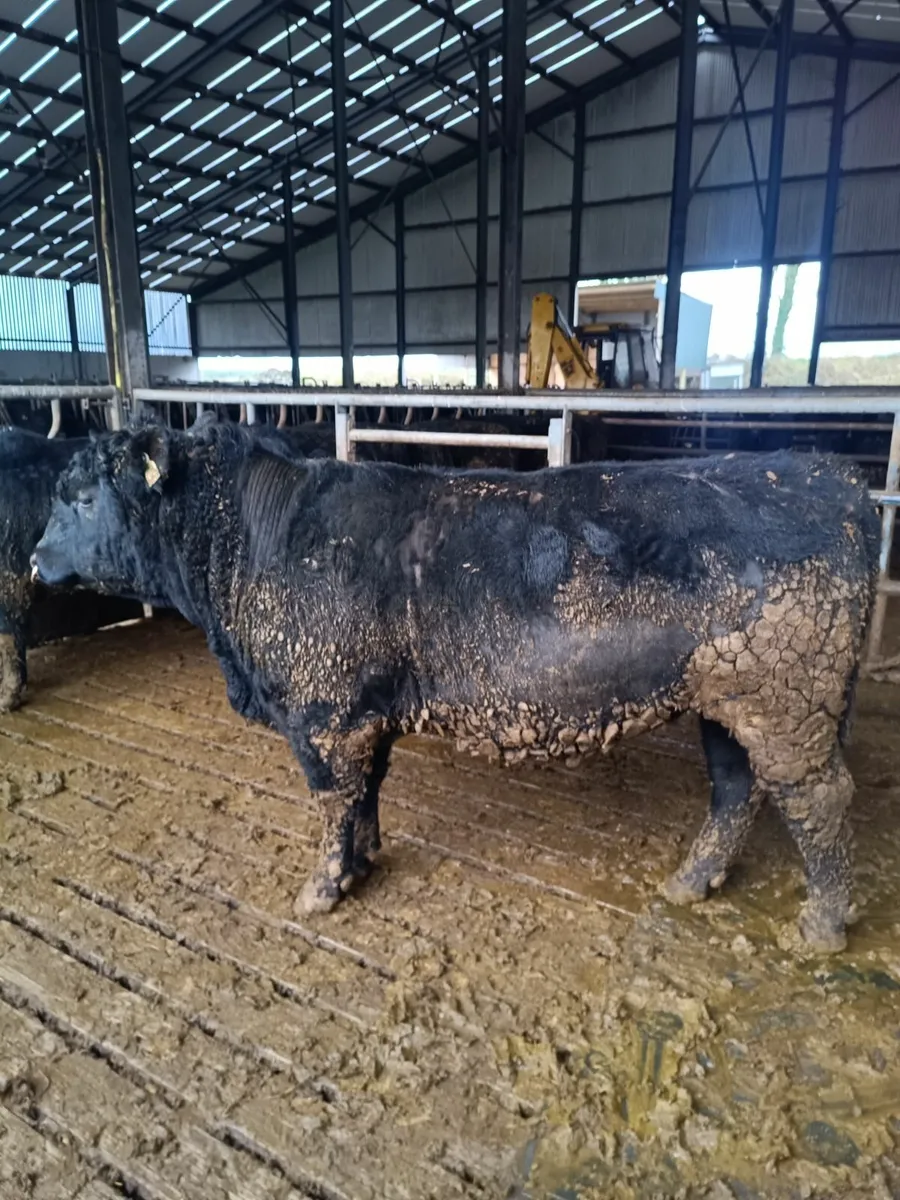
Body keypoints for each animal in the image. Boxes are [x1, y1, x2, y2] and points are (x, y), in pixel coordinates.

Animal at [32, 421, 879, 952]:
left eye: (83, 497)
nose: (36, 558)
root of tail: (825, 475)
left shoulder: (324, 714)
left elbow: (333, 804)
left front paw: (324, 887)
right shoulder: (363, 712)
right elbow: (367, 792)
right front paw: (365, 859)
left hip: (786, 704)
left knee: (818, 798)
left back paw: (822, 927)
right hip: (727, 702)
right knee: (737, 790)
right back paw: (691, 882)